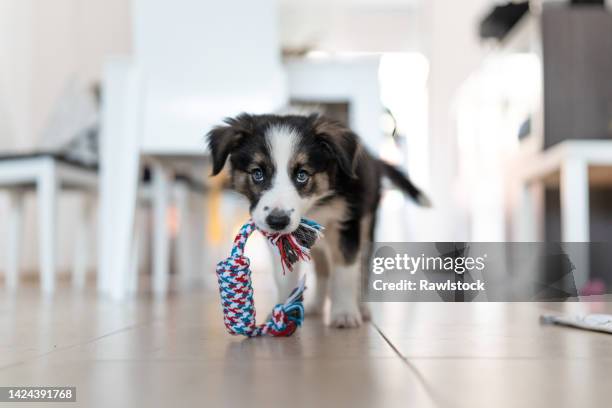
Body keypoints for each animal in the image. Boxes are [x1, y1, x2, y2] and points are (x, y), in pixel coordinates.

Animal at [208, 114, 428, 328]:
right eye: (257, 173)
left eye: (302, 175)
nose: (277, 221)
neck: (314, 206)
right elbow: (284, 276)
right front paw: (281, 311)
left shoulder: (347, 223)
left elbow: (345, 271)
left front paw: (344, 313)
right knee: (323, 270)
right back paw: (316, 305)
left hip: (367, 224)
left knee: (362, 266)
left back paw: (361, 308)